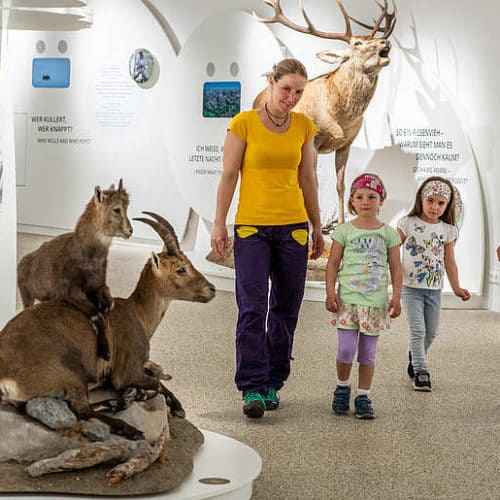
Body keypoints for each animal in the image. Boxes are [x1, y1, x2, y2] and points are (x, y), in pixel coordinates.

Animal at [256, 0, 396, 224]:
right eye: (357, 43)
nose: (386, 42)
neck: (340, 117)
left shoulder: (346, 143)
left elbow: (341, 186)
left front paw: (340, 223)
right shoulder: (314, 142)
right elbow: (314, 184)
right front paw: (316, 227)